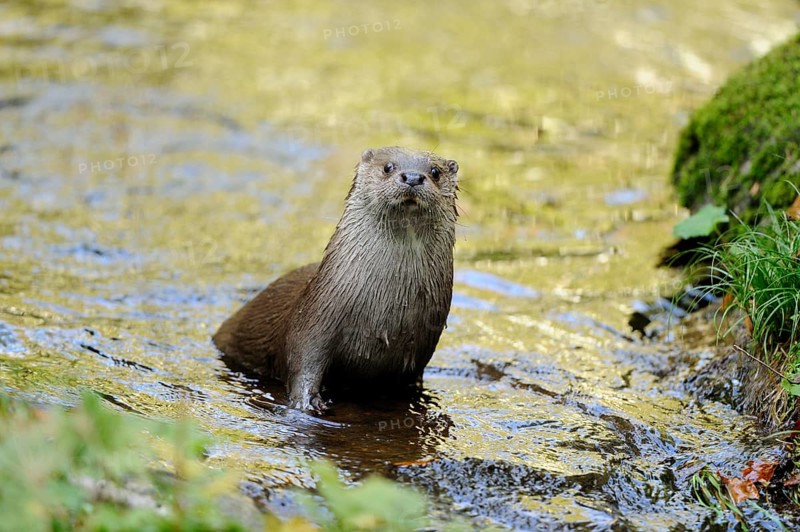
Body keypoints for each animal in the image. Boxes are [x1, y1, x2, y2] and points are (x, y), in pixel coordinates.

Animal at [213, 147, 459, 413]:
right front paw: (307, 401)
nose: (413, 177)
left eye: (435, 172)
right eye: (388, 167)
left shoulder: (420, 349)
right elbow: (303, 363)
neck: (382, 314)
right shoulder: (314, 318)